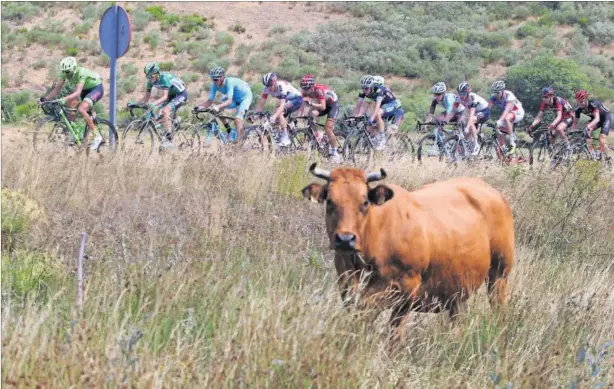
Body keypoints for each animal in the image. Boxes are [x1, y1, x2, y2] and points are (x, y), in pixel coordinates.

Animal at [302, 162, 516, 334]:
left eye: (365, 202)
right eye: (330, 201)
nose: (345, 239)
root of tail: (490, 191)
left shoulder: (405, 287)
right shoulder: (346, 280)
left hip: (499, 274)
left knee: (499, 306)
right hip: (459, 288)